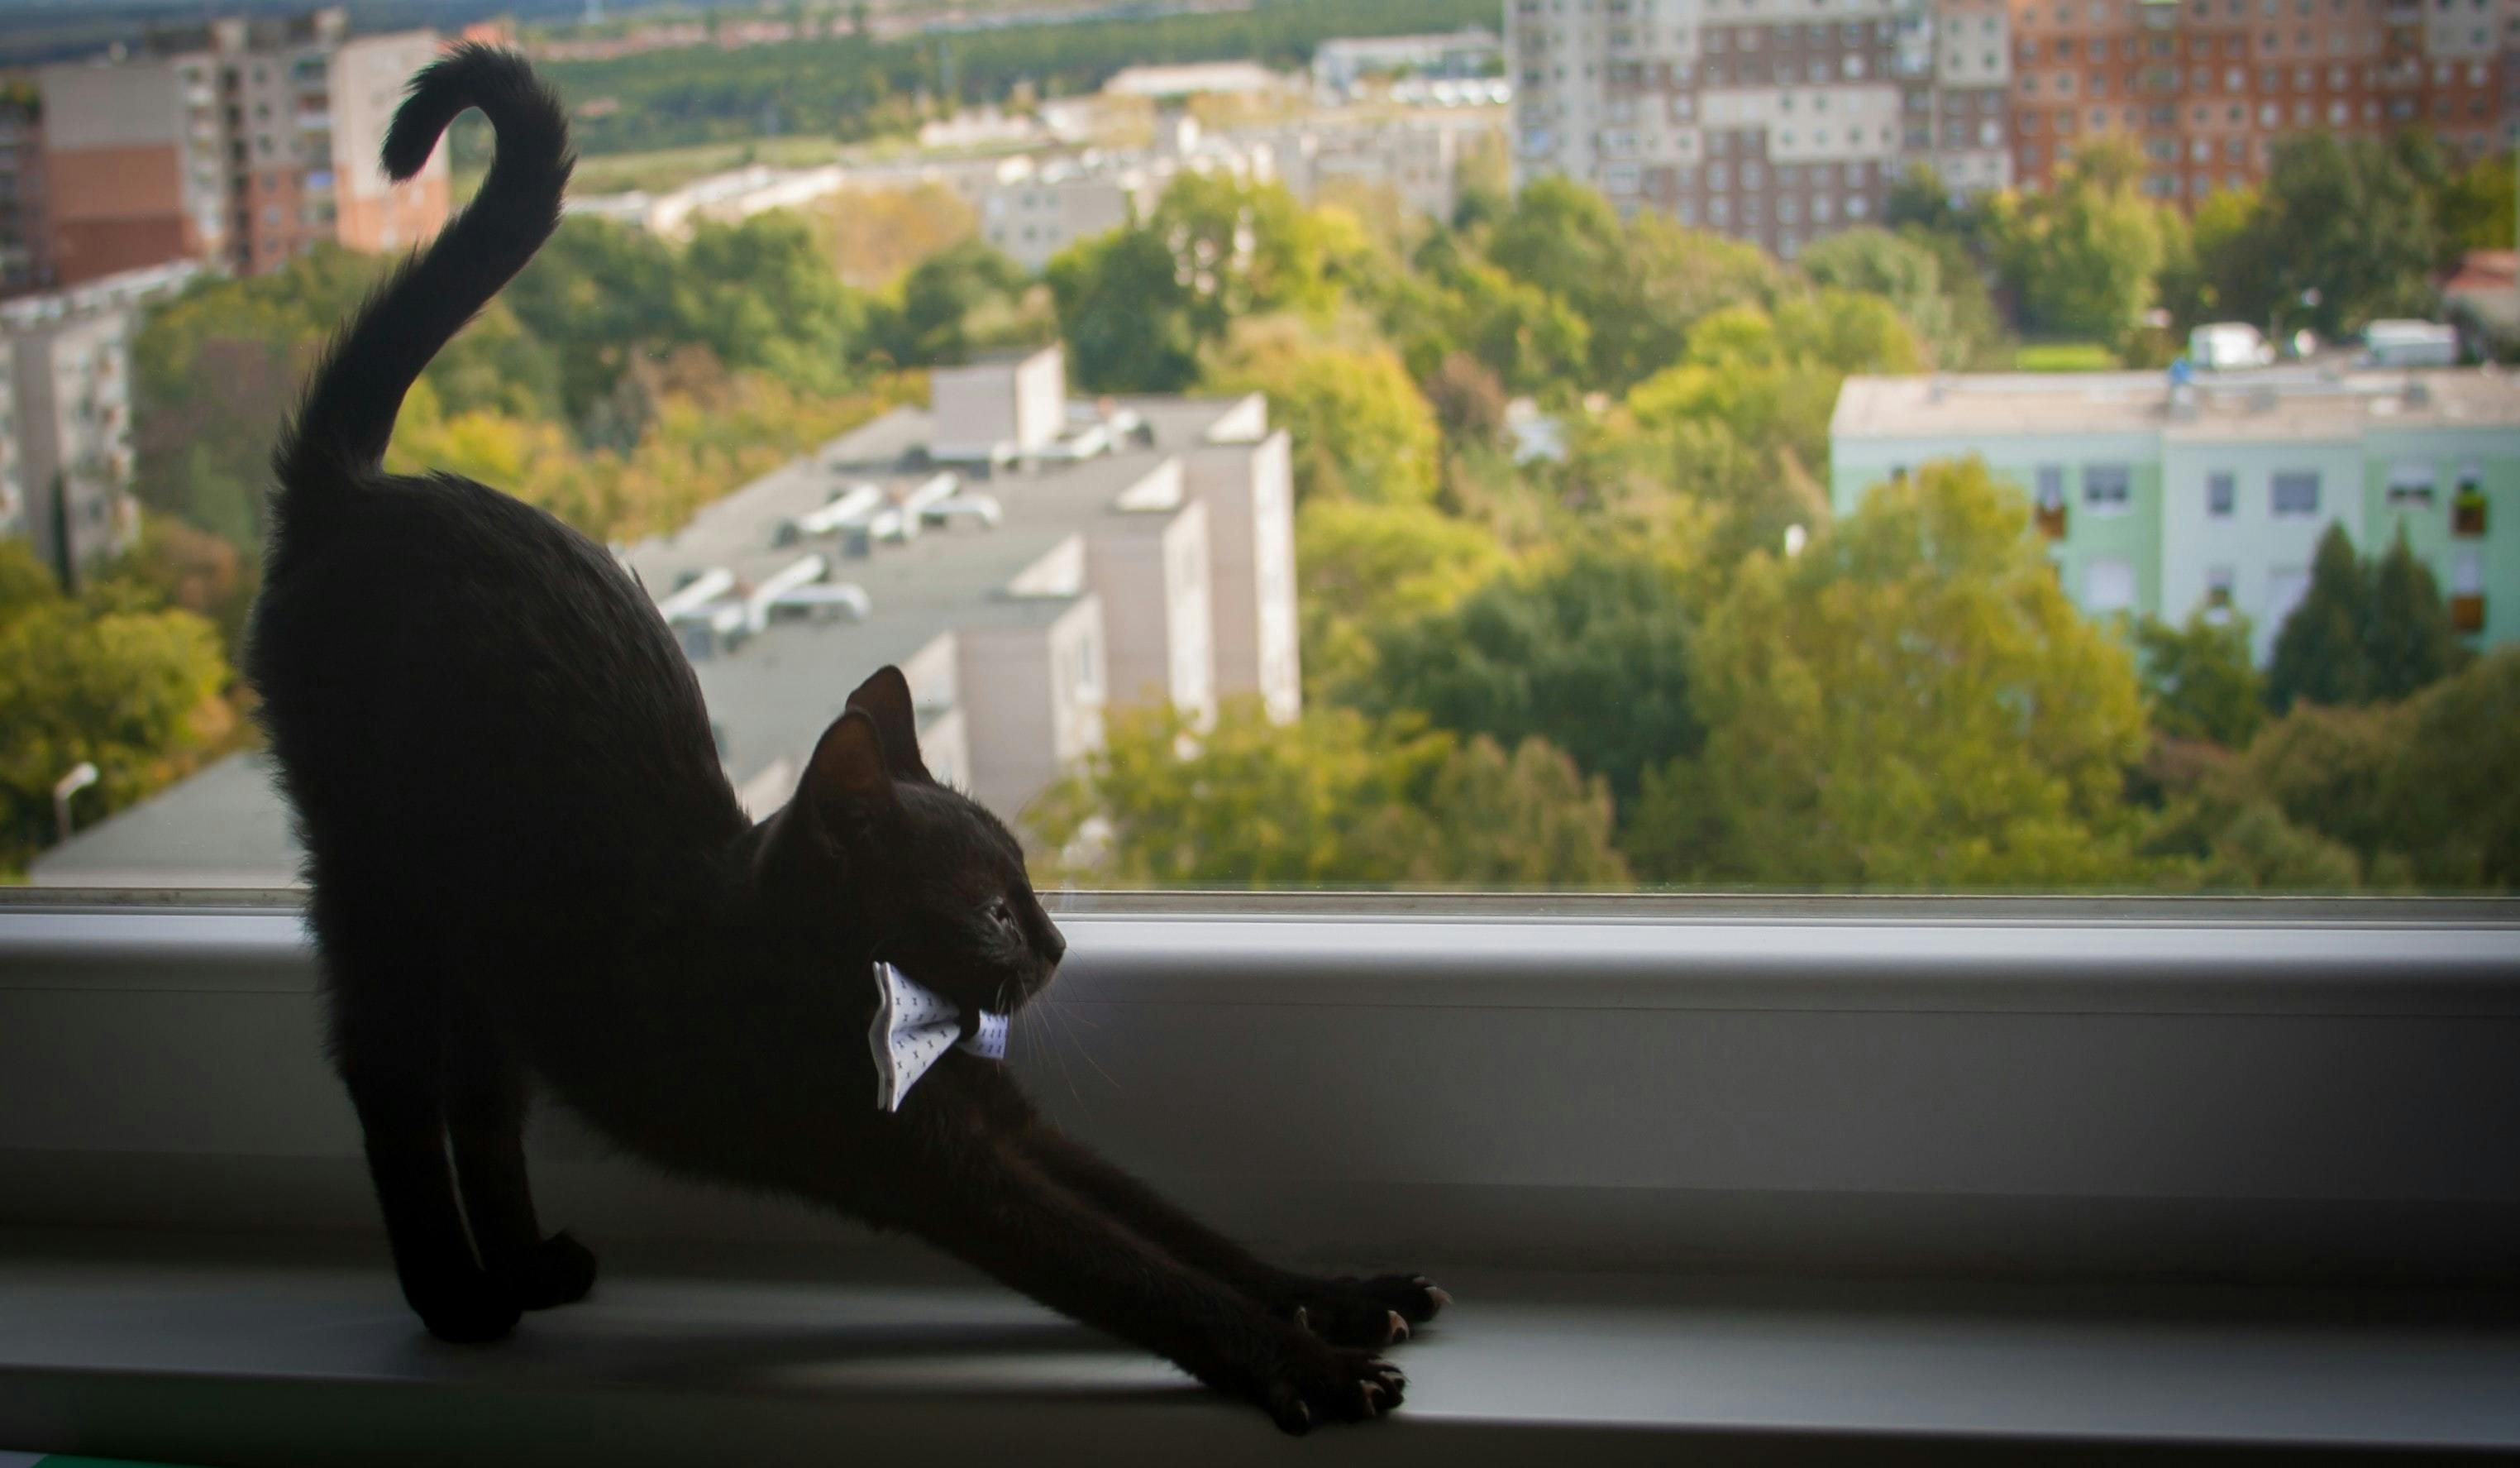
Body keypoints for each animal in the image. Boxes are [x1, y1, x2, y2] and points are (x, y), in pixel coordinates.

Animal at [253, 43, 1451, 1442]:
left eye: (1035, 882)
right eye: (992, 907)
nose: (1058, 945)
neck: (877, 995)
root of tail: (353, 490)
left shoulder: (1011, 1126)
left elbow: (1189, 1227)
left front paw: (1347, 1290)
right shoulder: (939, 1162)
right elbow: (1144, 1274)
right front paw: (1304, 1363)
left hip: (483, 942)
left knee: (479, 1087)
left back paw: (530, 1265)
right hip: (378, 889)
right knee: (388, 1077)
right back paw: (457, 1297)